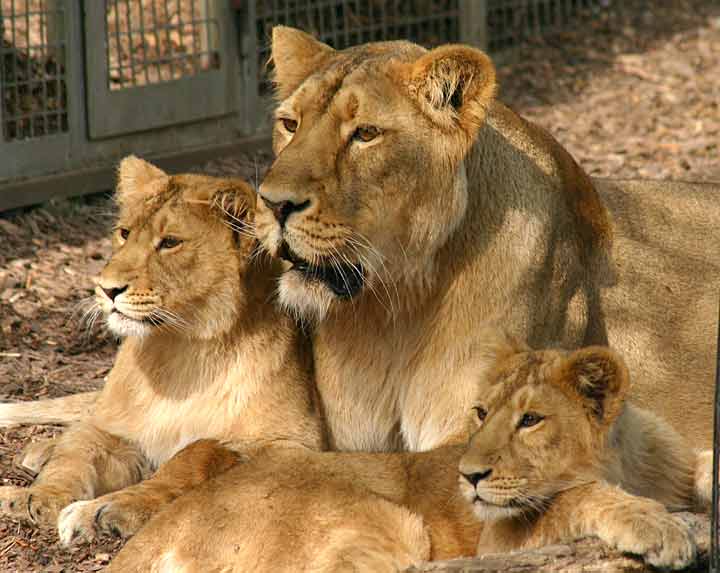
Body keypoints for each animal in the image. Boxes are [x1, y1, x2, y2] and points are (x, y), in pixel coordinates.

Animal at [0, 156, 324, 543]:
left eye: (170, 242)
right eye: (124, 233)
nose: (106, 289)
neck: (181, 350)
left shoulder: (294, 446)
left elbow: (195, 453)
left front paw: (106, 509)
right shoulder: (118, 429)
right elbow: (78, 455)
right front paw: (38, 496)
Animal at [104, 335, 700, 572]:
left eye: (530, 419)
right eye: (480, 413)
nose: (469, 475)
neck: (630, 465)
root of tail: (164, 526)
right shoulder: (497, 536)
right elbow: (573, 499)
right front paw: (659, 528)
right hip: (385, 520)